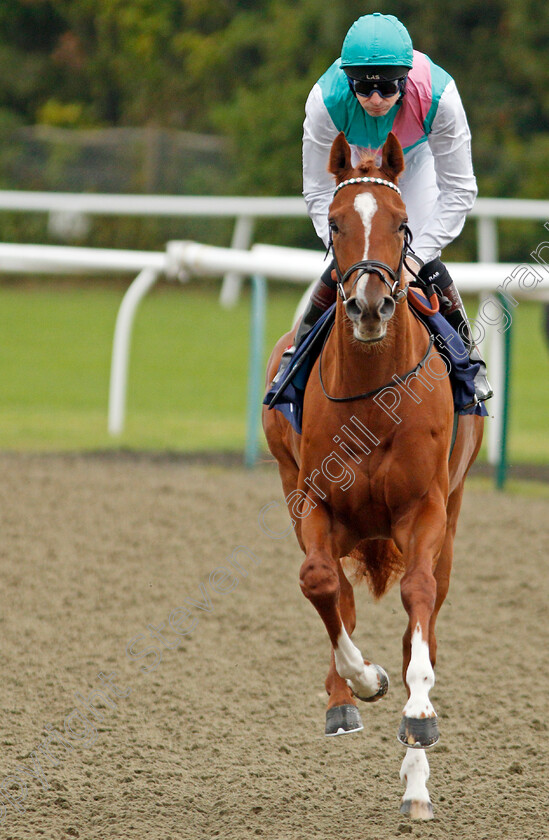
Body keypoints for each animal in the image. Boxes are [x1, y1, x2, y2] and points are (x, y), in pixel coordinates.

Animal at [264, 131, 482, 820]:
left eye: (401, 223)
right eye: (335, 224)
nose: (368, 304)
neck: (373, 398)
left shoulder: (427, 508)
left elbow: (417, 601)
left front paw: (418, 716)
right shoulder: (312, 500)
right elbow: (319, 582)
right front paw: (362, 683)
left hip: (453, 516)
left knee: (425, 615)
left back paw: (417, 776)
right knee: (339, 591)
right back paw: (343, 701)